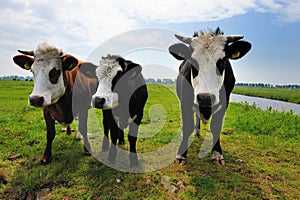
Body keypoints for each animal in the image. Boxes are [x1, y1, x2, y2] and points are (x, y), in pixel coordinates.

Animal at [169, 28, 251, 166]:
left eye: (222, 61)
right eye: (193, 62)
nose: (205, 98)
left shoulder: (224, 102)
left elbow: (216, 127)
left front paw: (217, 153)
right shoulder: (185, 101)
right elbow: (187, 126)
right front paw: (181, 154)